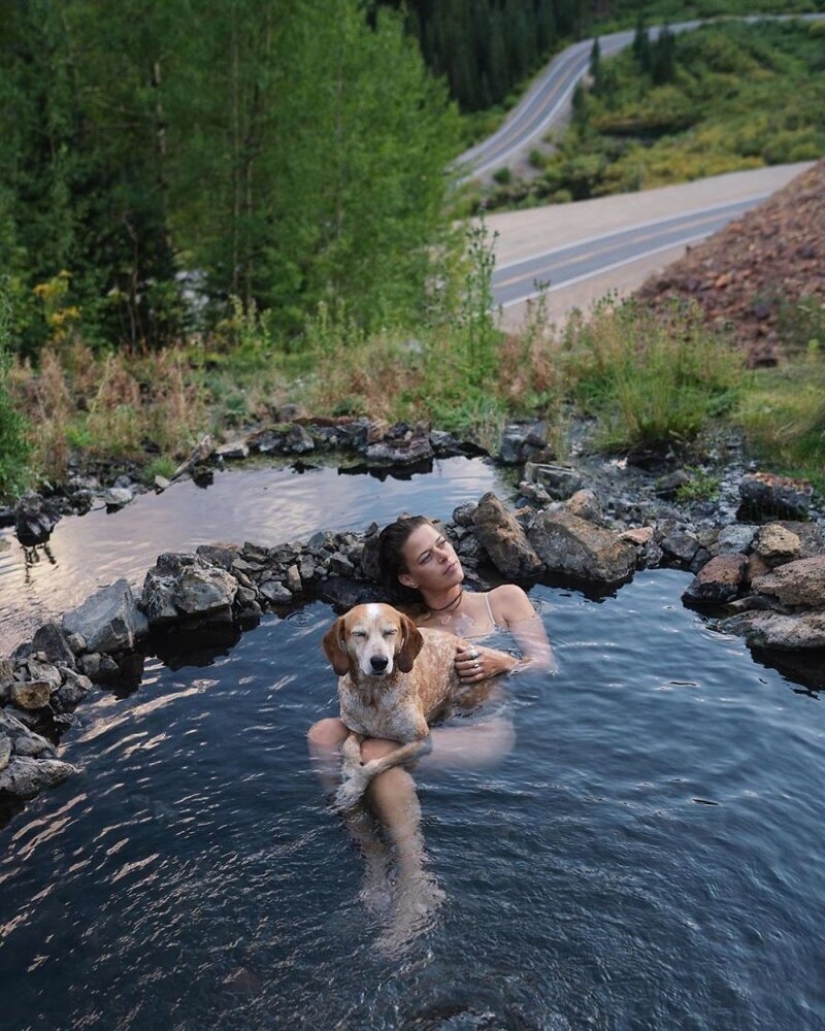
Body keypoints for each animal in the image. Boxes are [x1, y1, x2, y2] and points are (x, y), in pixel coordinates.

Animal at [319, 602, 470, 808]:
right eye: (359, 634)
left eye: (391, 632)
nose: (379, 662)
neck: (374, 694)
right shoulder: (355, 729)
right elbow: (347, 747)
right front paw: (350, 767)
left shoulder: (421, 742)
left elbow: (375, 764)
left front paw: (354, 786)